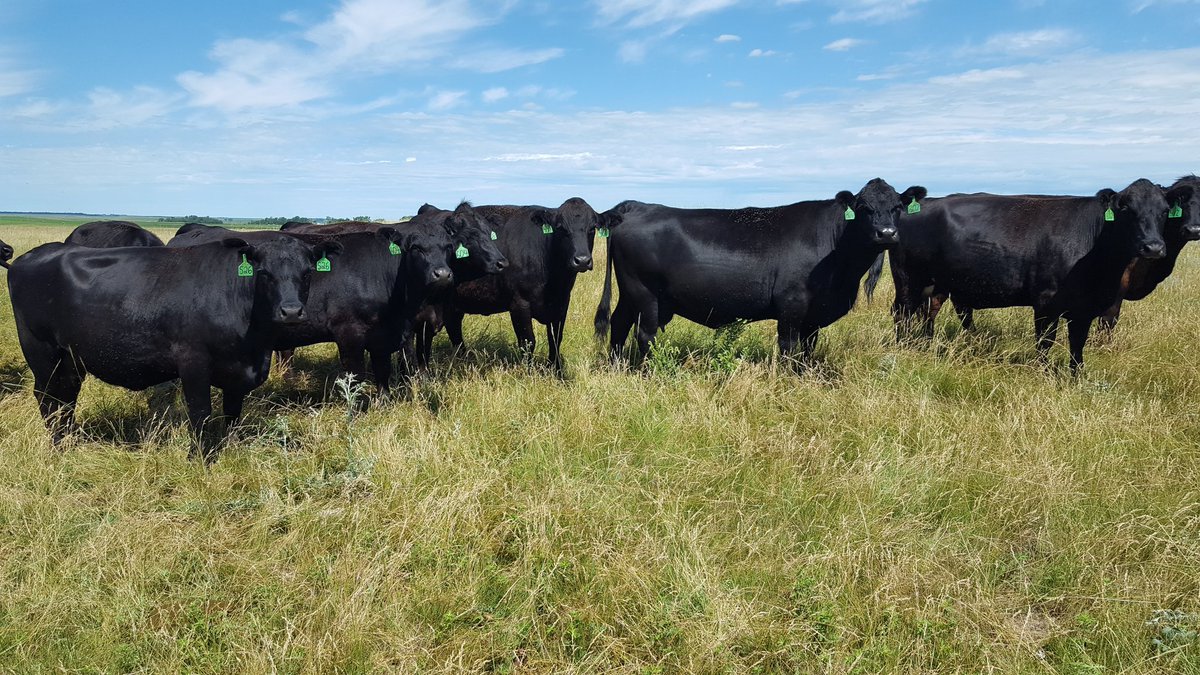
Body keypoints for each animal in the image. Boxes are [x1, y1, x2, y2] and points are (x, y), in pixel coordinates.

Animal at [9, 234, 340, 454]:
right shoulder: (193, 362)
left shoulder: (239, 371)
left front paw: (229, 448)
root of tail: (32, 256)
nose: (291, 311)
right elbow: (201, 413)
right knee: (47, 398)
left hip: (70, 358)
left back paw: (68, 440)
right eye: (264, 273)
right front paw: (203, 459)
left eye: (307, 272)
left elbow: (232, 414)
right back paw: (57, 446)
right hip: (41, 352)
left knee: (66, 397)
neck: (255, 344)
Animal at [429, 194, 604, 372]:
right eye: (561, 228)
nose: (582, 260)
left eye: (592, 229)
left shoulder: (562, 303)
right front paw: (529, 372)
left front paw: (556, 370)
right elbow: (528, 342)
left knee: (454, 330)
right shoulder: (519, 304)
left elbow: (555, 339)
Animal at [595, 176, 921, 360]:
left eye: (897, 207)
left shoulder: (814, 315)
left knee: (619, 323)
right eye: (864, 208)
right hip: (646, 293)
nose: (886, 233)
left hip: (631, 293)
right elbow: (789, 348)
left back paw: (616, 365)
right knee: (645, 334)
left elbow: (808, 348)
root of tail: (635, 206)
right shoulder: (792, 306)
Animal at [888, 176, 1166, 369]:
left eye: (1164, 210)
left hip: (932, 285)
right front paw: (1042, 371)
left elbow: (1077, 346)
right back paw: (903, 348)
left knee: (923, 312)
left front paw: (1076, 377)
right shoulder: (1045, 302)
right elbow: (1045, 343)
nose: (1153, 246)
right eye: (1126, 209)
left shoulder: (1084, 310)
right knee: (902, 313)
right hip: (908, 279)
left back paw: (920, 345)